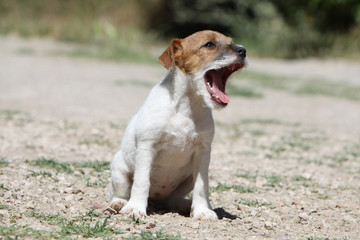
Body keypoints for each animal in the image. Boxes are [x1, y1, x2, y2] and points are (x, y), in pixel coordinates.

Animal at [109, 30, 248, 219]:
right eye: (209, 44)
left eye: (231, 42)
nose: (243, 51)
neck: (186, 106)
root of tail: (156, 198)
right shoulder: (147, 146)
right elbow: (141, 181)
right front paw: (135, 208)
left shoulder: (202, 153)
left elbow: (201, 186)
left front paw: (203, 211)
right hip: (119, 169)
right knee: (120, 192)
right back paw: (120, 202)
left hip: (187, 179)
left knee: (172, 199)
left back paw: (184, 204)